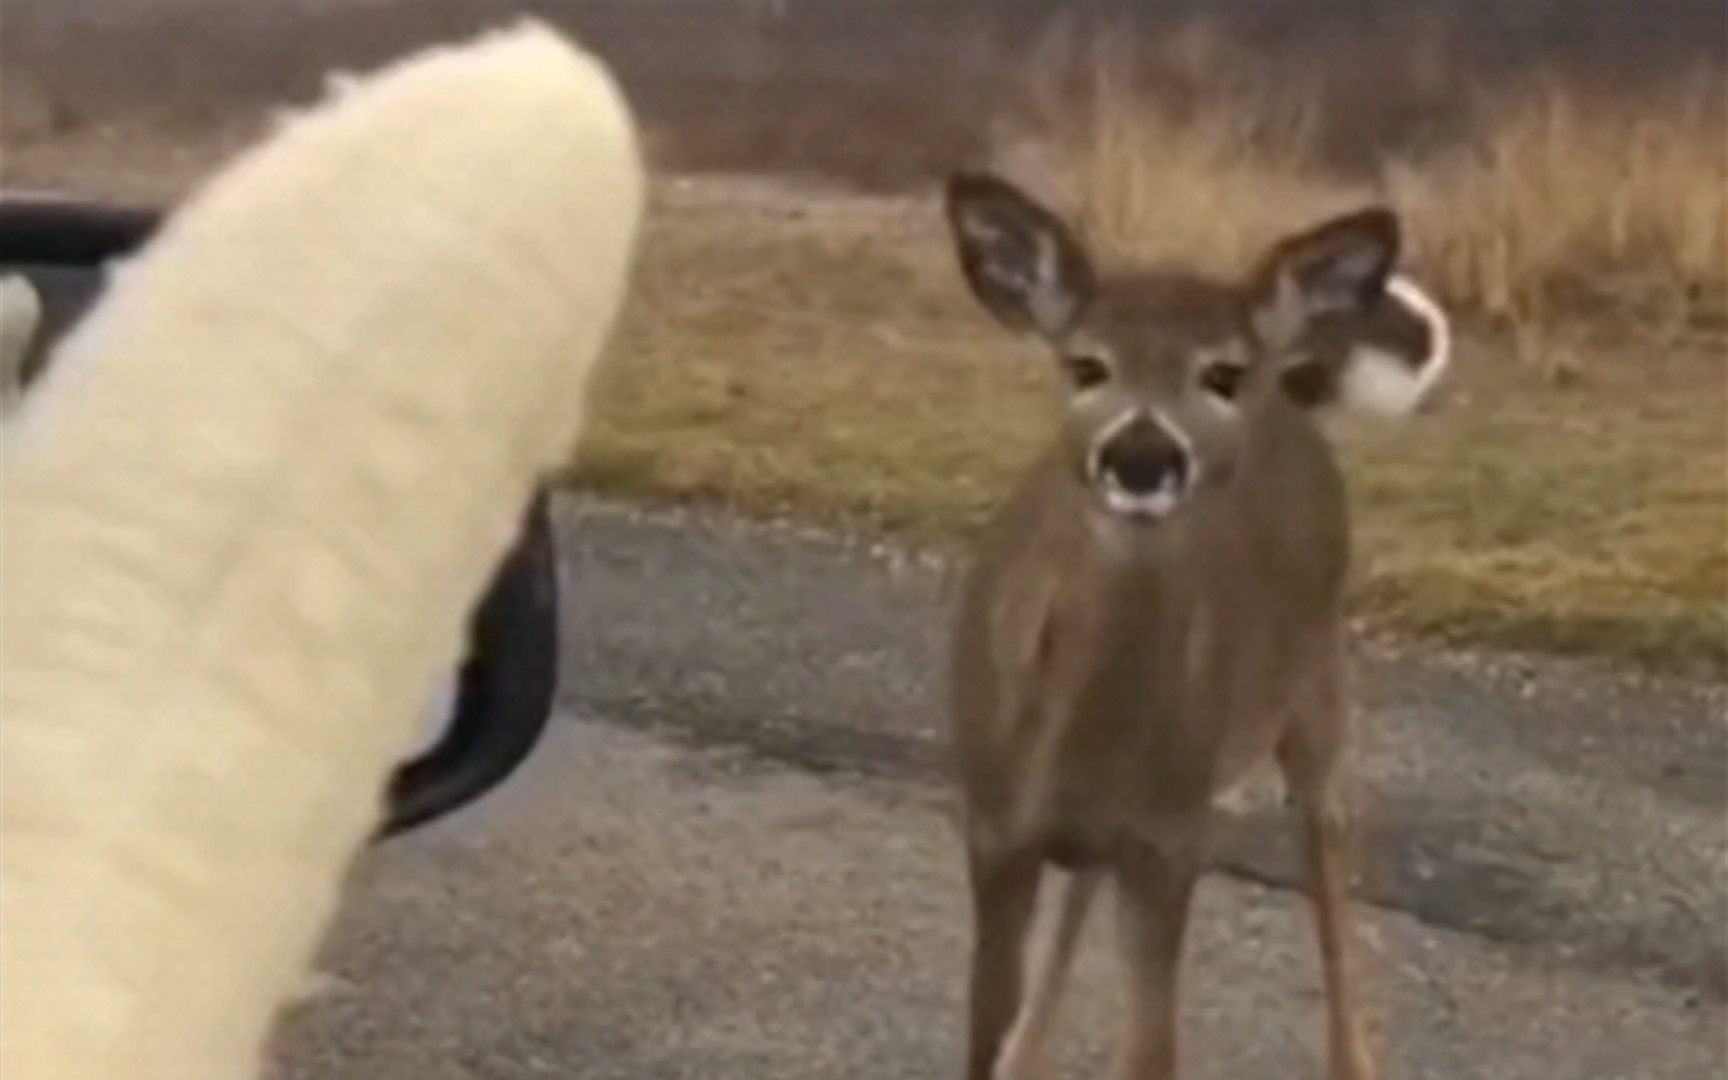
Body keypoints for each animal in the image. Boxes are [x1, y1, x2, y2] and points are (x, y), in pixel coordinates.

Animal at [940, 170, 1451, 1078]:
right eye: (1086, 363)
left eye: (1220, 371)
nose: (1142, 456)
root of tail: (1294, 390)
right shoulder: (997, 828)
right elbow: (987, 1034)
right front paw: (1014, 1049)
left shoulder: (1170, 839)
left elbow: (1153, 1049)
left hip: (1317, 687)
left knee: (1331, 873)